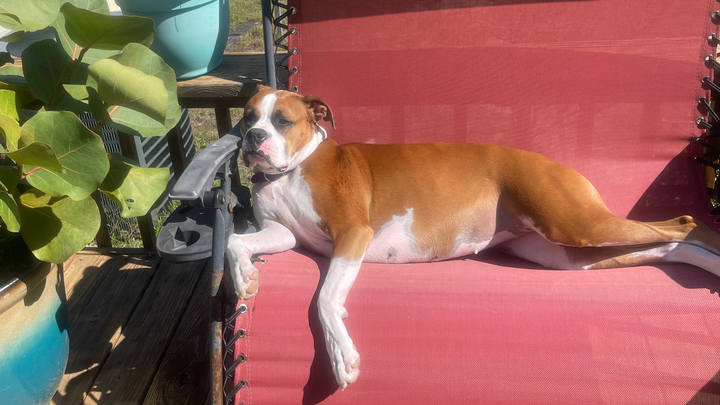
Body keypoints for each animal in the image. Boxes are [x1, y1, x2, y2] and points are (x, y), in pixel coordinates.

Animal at [226, 86, 720, 390]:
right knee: (669, 245)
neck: (291, 172)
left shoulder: (352, 233)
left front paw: (341, 356)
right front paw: (245, 278)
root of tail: (551, 161)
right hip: (567, 253)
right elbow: (236, 242)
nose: (253, 137)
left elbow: (326, 298)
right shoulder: (281, 234)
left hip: (576, 224)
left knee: (687, 224)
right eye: (247, 118)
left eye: (283, 120)